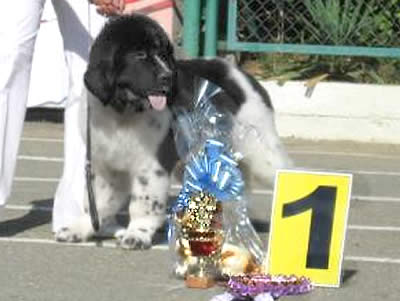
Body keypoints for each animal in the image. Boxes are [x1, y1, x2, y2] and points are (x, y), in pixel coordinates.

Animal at [54, 14, 292, 248]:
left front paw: (137, 234)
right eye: (139, 55)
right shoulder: (104, 165)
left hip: (260, 151)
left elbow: (143, 202)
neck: (123, 113)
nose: (167, 77)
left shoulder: (151, 164)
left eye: (162, 55)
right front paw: (81, 228)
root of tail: (242, 75)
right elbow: (98, 202)